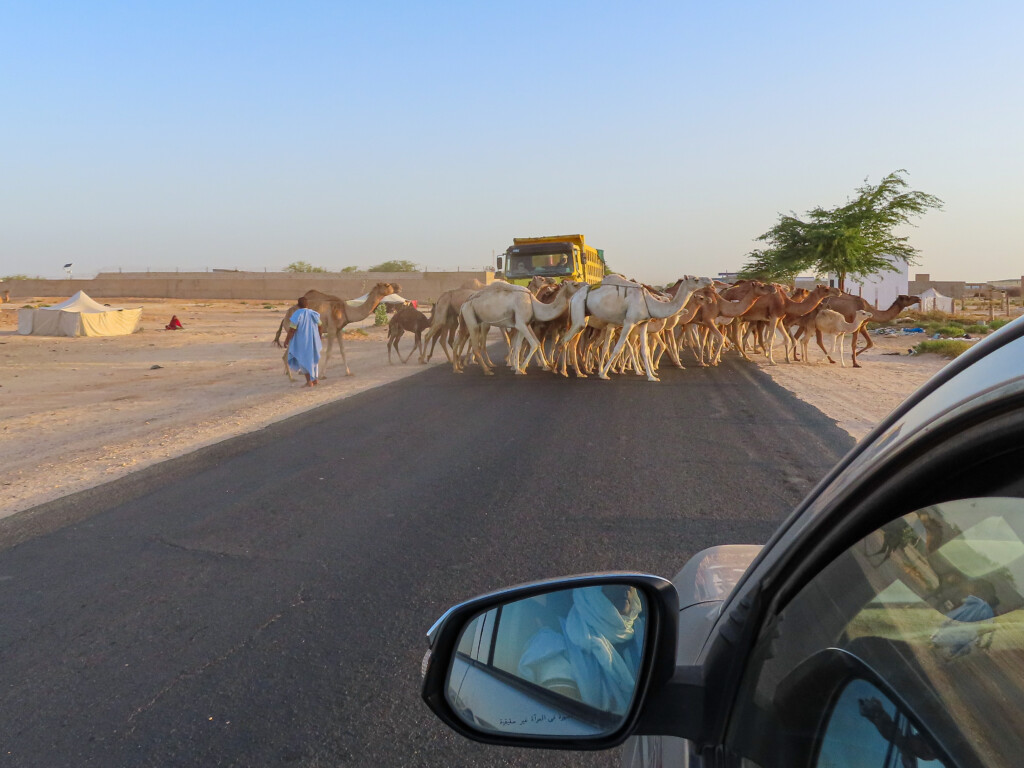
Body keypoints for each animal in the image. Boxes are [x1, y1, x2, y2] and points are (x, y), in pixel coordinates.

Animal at [557, 276, 716, 385]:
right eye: (696, 279)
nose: (710, 280)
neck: (650, 303)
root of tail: (573, 297)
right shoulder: (628, 322)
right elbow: (618, 348)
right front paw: (604, 374)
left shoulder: (643, 324)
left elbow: (644, 350)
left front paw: (651, 376)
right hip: (579, 313)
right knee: (566, 341)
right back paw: (565, 371)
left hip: (585, 321)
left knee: (574, 342)